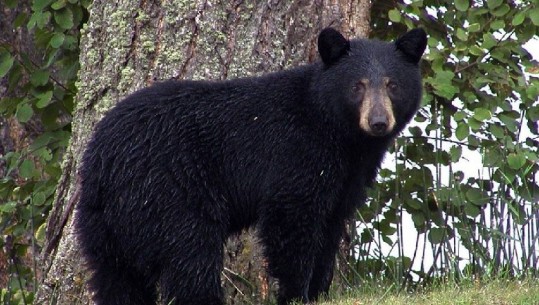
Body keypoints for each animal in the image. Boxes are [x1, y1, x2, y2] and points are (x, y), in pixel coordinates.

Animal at [76, 26, 428, 304]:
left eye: (392, 84)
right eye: (357, 85)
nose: (378, 122)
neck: (339, 134)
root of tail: (102, 159)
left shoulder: (347, 177)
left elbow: (330, 226)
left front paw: (319, 292)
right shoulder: (297, 154)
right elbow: (292, 220)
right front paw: (296, 294)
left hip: (103, 223)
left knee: (116, 276)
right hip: (169, 192)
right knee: (190, 254)